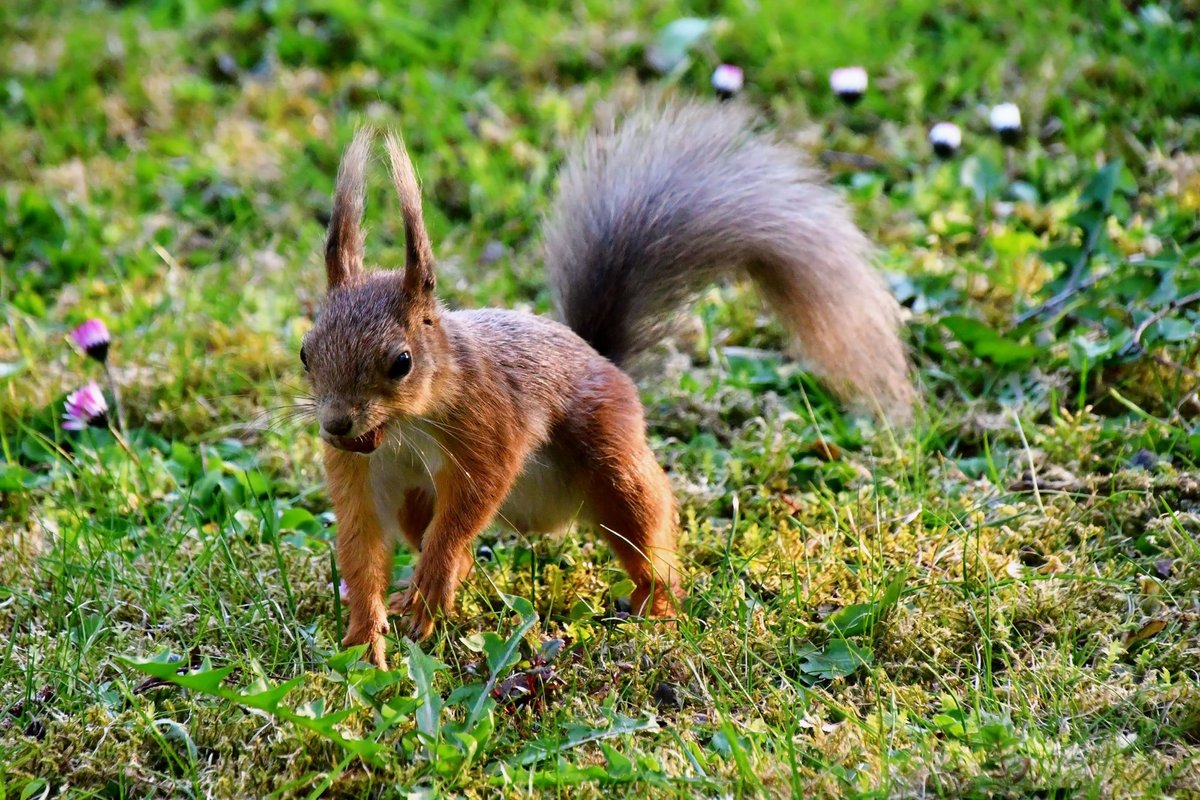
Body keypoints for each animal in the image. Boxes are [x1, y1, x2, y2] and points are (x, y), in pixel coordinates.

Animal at [297, 100, 907, 671]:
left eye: (400, 362)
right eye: (306, 352)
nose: (336, 424)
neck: (407, 427)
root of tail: (601, 358)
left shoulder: (489, 425)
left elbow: (470, 506)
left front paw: (430, 582)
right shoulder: (360, 471)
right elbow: (361, 542)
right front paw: (364, 637)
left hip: (612, 459)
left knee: (646, 527)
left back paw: (656, 607)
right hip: (416, 497)